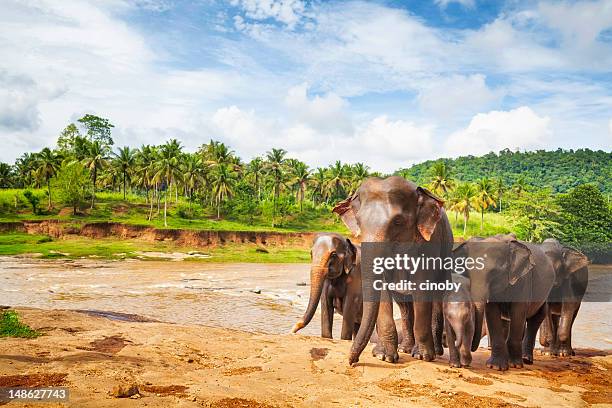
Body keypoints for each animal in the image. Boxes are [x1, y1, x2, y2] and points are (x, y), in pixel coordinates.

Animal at [330, 177, 454, 364]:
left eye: (397, 222)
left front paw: (423, 356)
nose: (352, 362)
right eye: (359, 222)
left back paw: (435, 352)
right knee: (404, 305)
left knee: (436, 297)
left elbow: (422, 285)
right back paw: (405, 348)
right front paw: (384, 356)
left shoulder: (430, 241)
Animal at [456, 234, 556, 372]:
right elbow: (492, 313)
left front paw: (515, 365)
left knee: (536, 318)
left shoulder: (523, 280)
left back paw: (525, 359)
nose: (466, 363)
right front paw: (495, 366)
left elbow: (518, 312)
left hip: (544, 293)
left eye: (494, 272)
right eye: (468, 272)